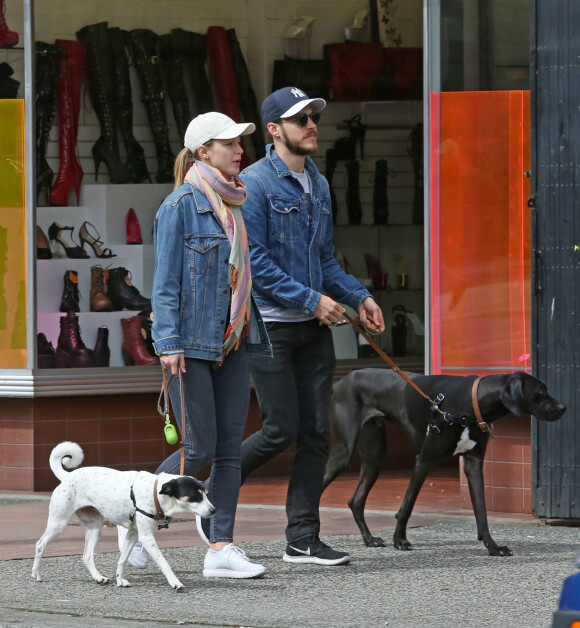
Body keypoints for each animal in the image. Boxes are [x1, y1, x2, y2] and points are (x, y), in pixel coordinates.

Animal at [322, 370, 568, 556]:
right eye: (540, 392)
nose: (564, 407)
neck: (472, 403)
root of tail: (340, 382)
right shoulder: (423, 461)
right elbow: (407, 506)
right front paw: (400, 539)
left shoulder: (474, 465)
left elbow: (482, 512)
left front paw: (492, 546)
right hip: (344, 453)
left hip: (375, 455)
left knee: (356, 500)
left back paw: (369, 538)